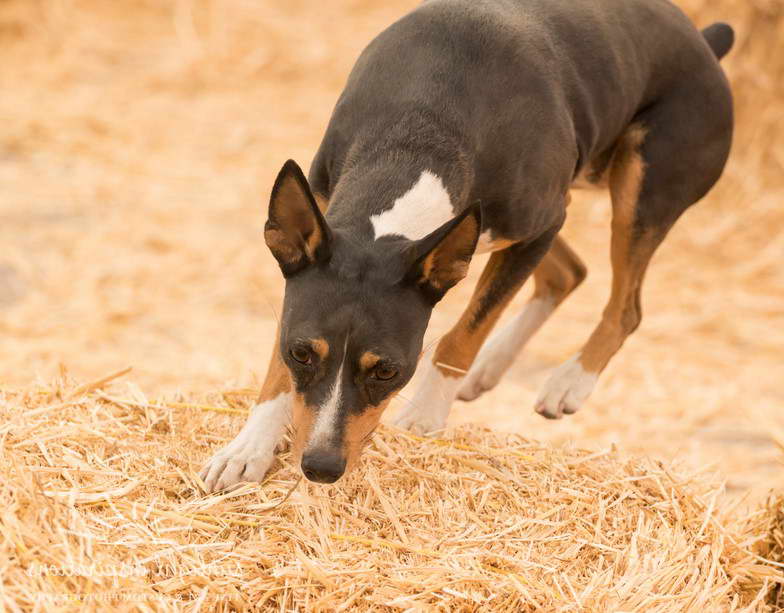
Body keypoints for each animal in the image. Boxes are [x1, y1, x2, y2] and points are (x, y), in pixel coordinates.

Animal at [199, 0, 732, 490]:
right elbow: (277, 366)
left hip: (638, 190)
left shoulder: (539, 225)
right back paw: (490, 369)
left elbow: (463, 334)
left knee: (625, 306)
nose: (321, 468)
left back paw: (569, 383)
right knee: (570, 272)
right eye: (302, 354)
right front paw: (248, 447)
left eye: (388, 371)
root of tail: (707, 40)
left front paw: (426, 415)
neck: (419, 131)